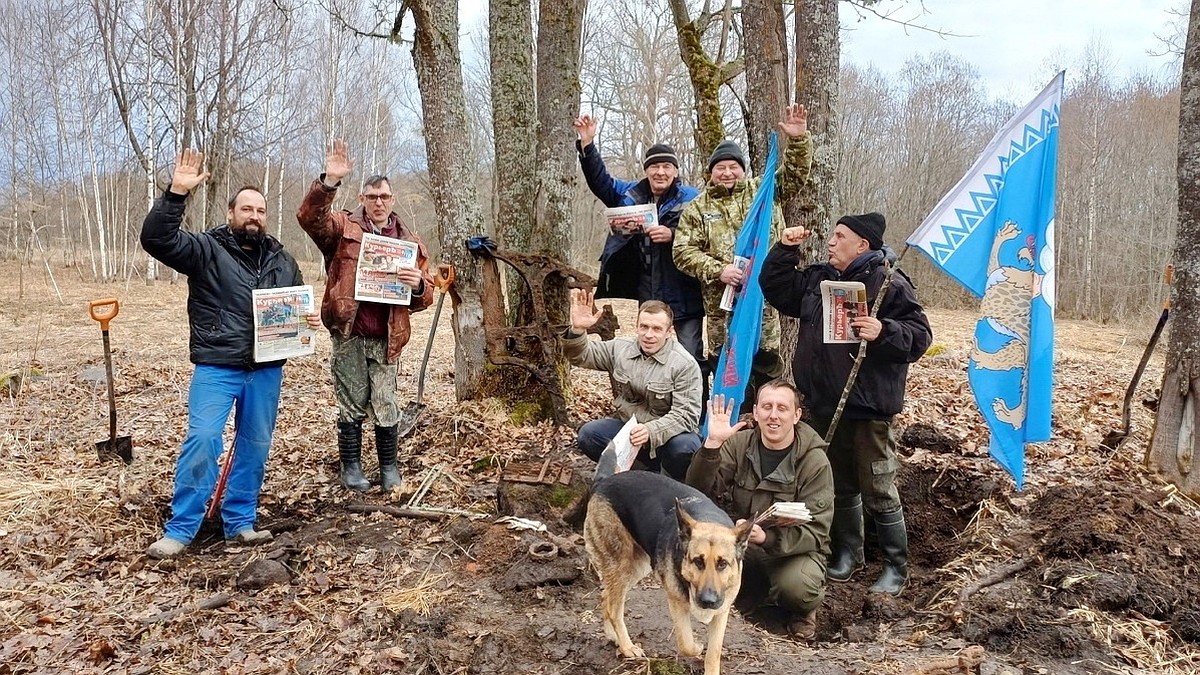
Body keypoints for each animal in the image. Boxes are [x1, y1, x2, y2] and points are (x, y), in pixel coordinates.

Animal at [580, 468, 748, 672]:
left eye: (722, 564)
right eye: (698, 561)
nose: (708, 601)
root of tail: (603, 482)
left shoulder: (721, 612)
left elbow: (713, 654)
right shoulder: (677, 604)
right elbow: (686, 644)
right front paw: (698, 646)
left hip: (637, 567)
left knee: (606, 596)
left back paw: (614, 636)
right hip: (621, 565)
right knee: (614, 608)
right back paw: (627, 647)